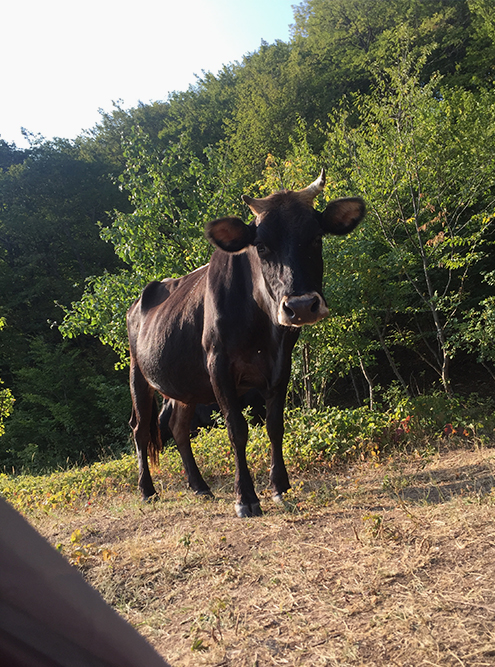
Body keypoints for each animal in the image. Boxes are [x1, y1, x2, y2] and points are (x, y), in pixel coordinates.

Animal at [128, 171, 364, 516]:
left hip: (184, 386)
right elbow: (237, 429)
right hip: (138, 374)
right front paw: (246, 497)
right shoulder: (218, 365)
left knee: (178, 426)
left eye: (317, 237)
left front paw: (280, 486)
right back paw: (147, 489)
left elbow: (275, 425)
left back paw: (200, 486)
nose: (301, 306)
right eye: (262, 246)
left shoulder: (281, 363)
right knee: (141, 429)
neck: (260, 326)